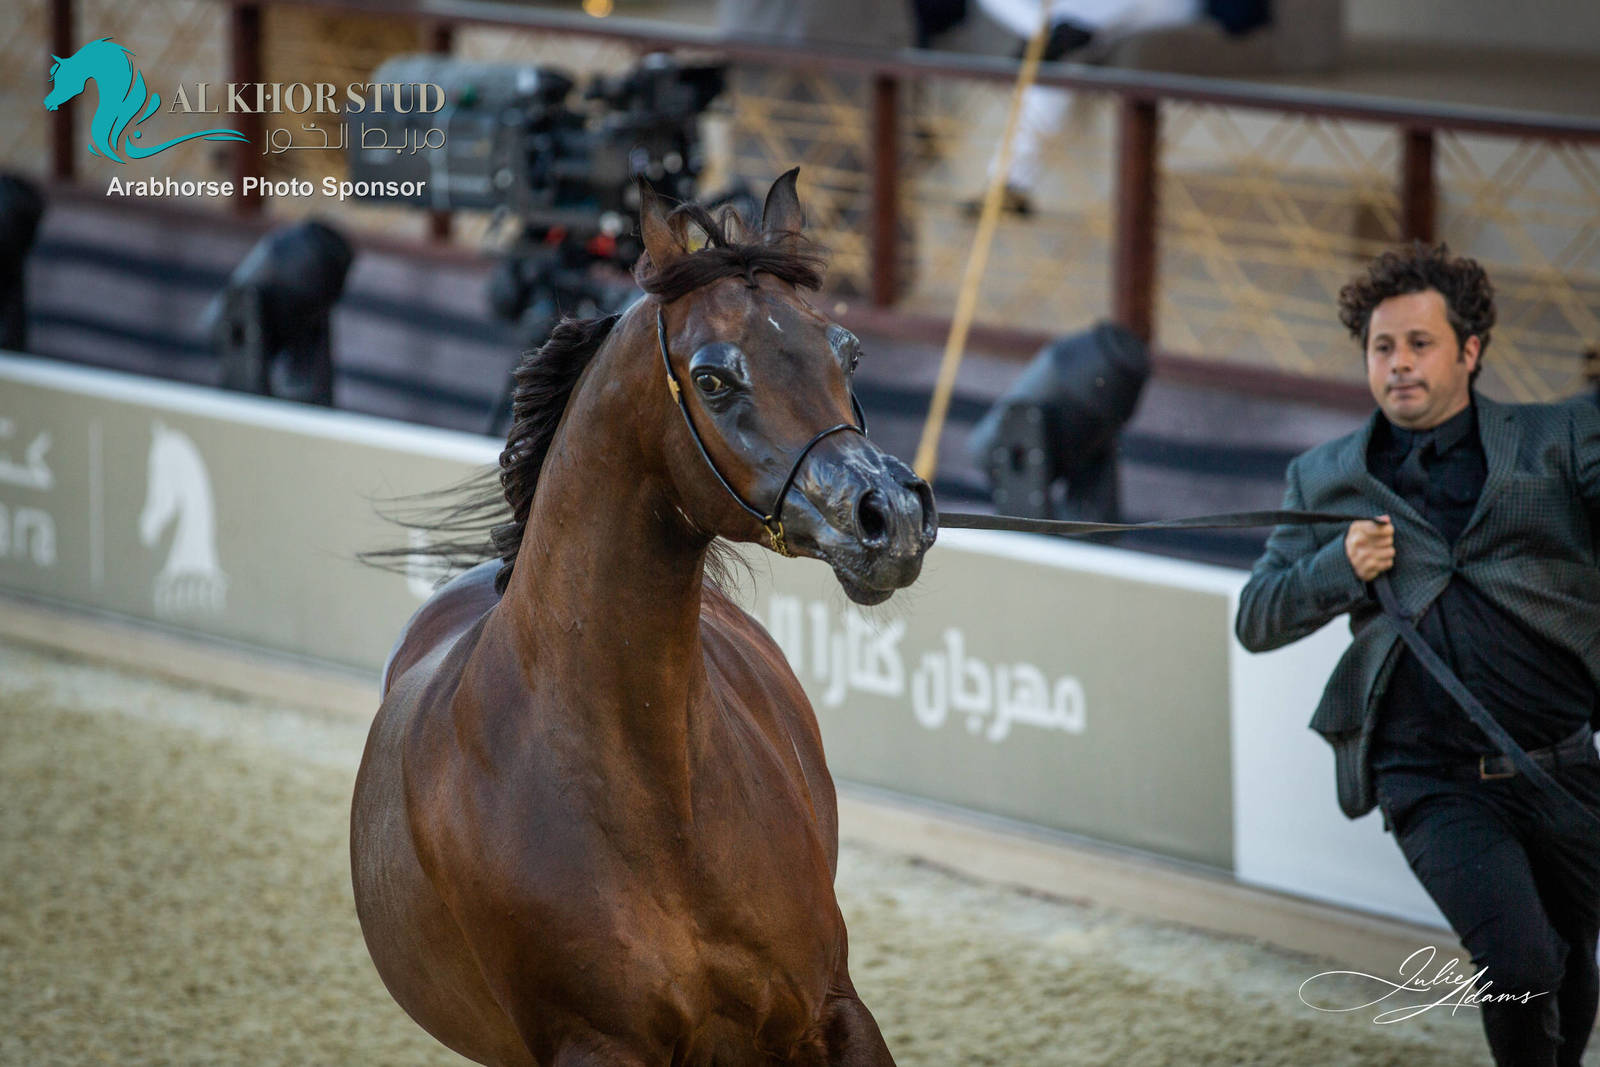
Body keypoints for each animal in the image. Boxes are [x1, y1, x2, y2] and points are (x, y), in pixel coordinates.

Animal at [352, 170, 936, 1067]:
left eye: (847, 352)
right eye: (713, 378)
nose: (892, 514)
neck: (659, 804)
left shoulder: (831, 1010)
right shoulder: (601, 1045)